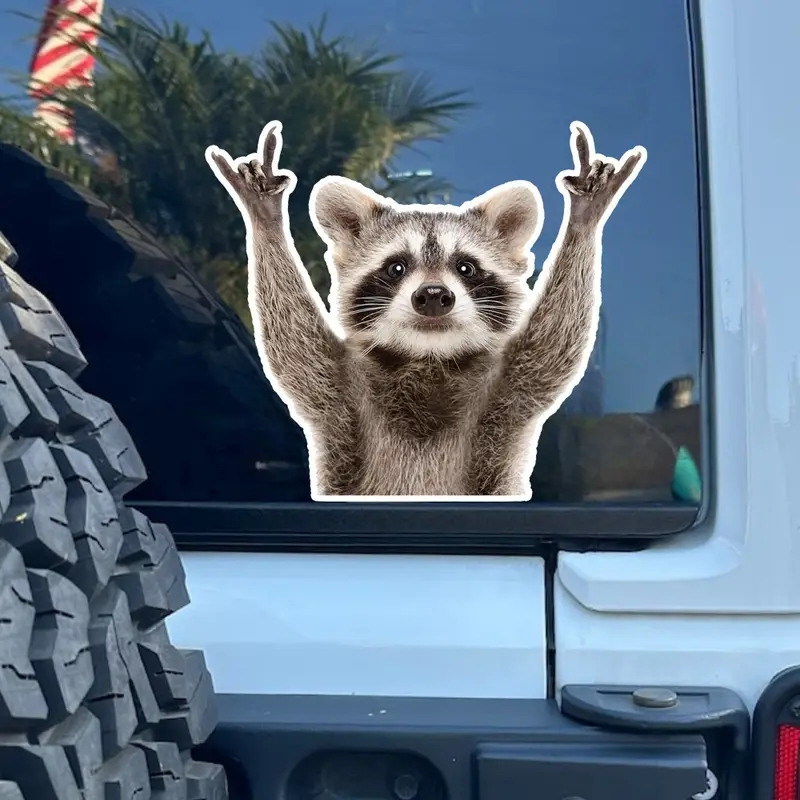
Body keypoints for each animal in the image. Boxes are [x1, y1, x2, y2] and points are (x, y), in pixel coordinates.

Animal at [206, 120, 646, 499]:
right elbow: (294, 346)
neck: (428, 357)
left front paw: (584, 218)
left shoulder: (509, 392)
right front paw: (265, 218)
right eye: (396, 267)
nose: (433, 295)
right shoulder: (339, 392)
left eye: (465, 267)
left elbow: (555, 345)